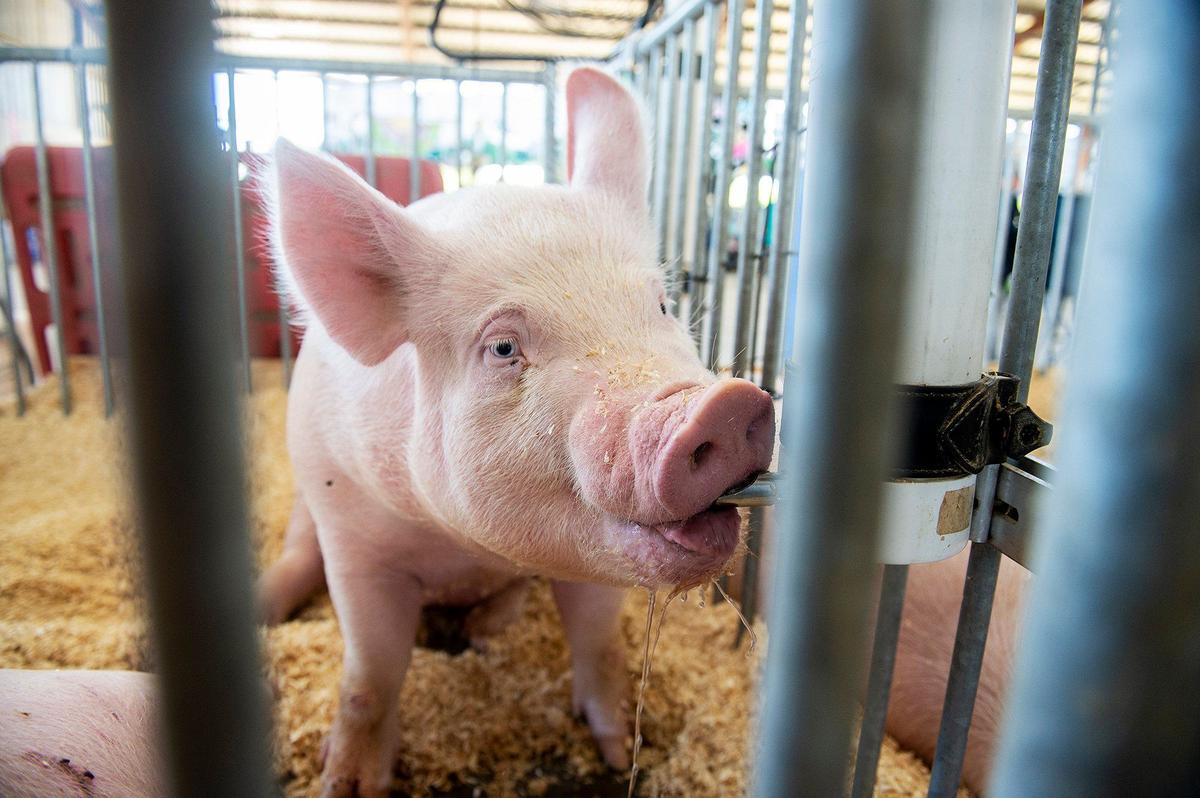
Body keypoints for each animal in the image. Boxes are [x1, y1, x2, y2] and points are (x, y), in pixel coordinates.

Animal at [257, 67, 776, 797]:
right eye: (503, 347)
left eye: (662, 305)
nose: (722, 406)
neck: (456, 545)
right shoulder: (355, 539)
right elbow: (370, 674)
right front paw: (345, 785)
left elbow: (598, 641)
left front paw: (621, 748)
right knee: (299, 555)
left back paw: (480, 631)